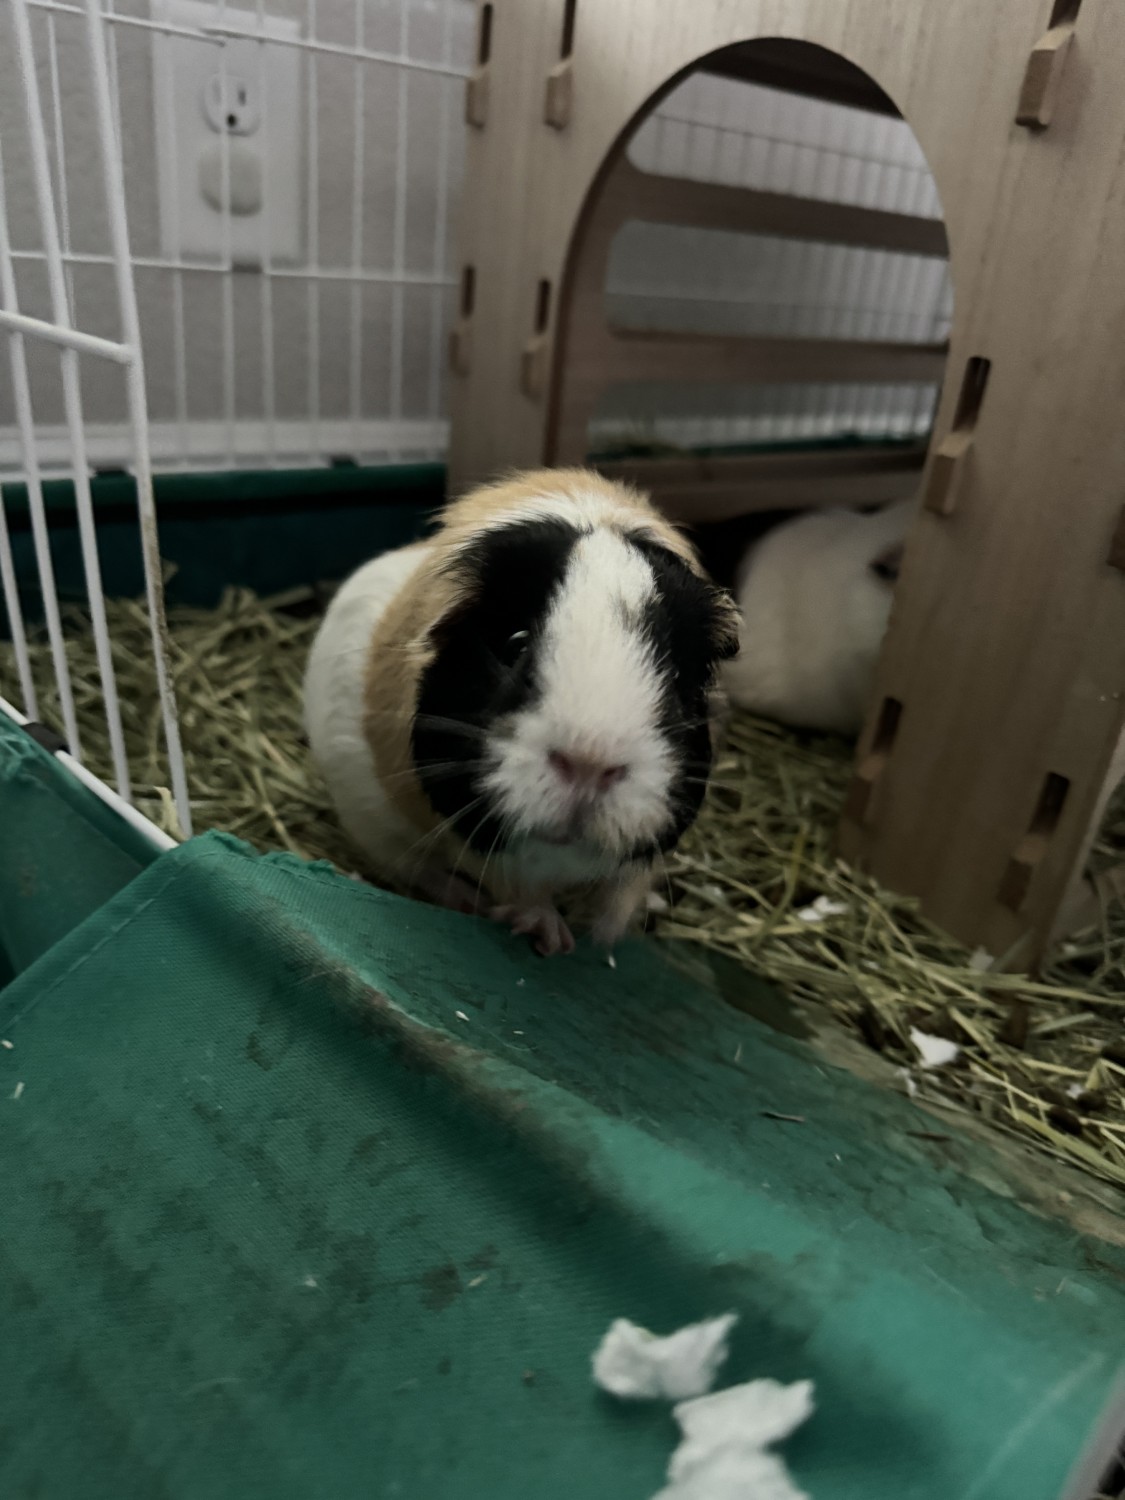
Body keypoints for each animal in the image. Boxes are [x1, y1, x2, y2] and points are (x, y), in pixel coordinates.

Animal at [303, 468, 739, 956]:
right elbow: (520, 888)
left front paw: (602, 937)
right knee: (417, 868)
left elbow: (621, 892)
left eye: (677, 675)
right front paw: (551, 938)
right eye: (515, 644)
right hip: (369, 821)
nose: (589, 765)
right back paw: (467, 901)